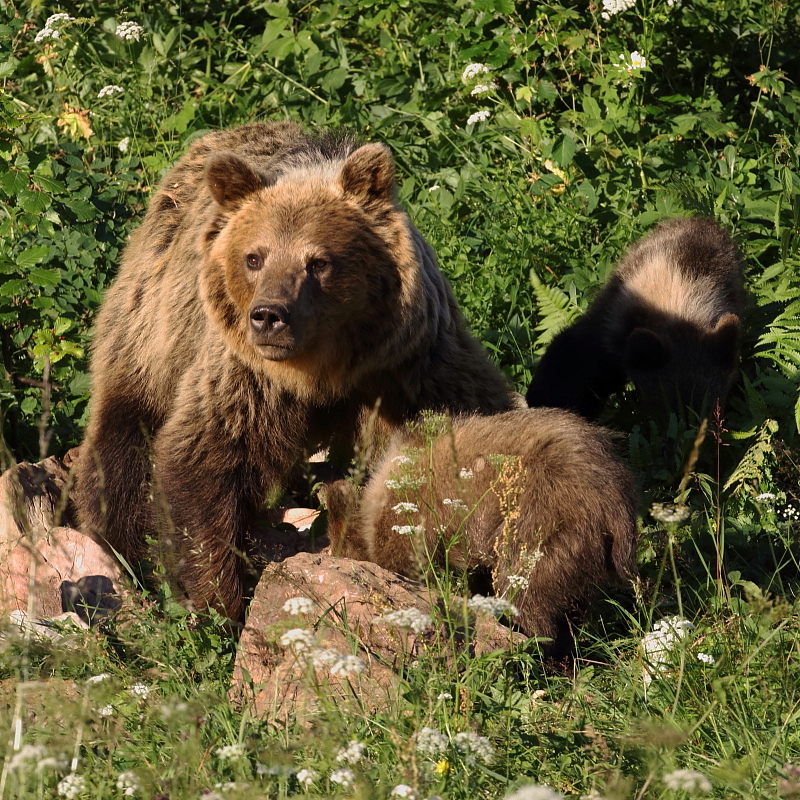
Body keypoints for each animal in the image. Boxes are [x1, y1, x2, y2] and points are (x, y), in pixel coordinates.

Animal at [72, 120, 516, 620]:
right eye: (254, 257)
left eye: (318, 261)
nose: (269, 315)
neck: (324, 371)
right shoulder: (248, 377)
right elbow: (205, 457)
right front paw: (215, 601)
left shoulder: (410, 366)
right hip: (152, 324)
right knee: (123, 438)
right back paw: (120, 547)